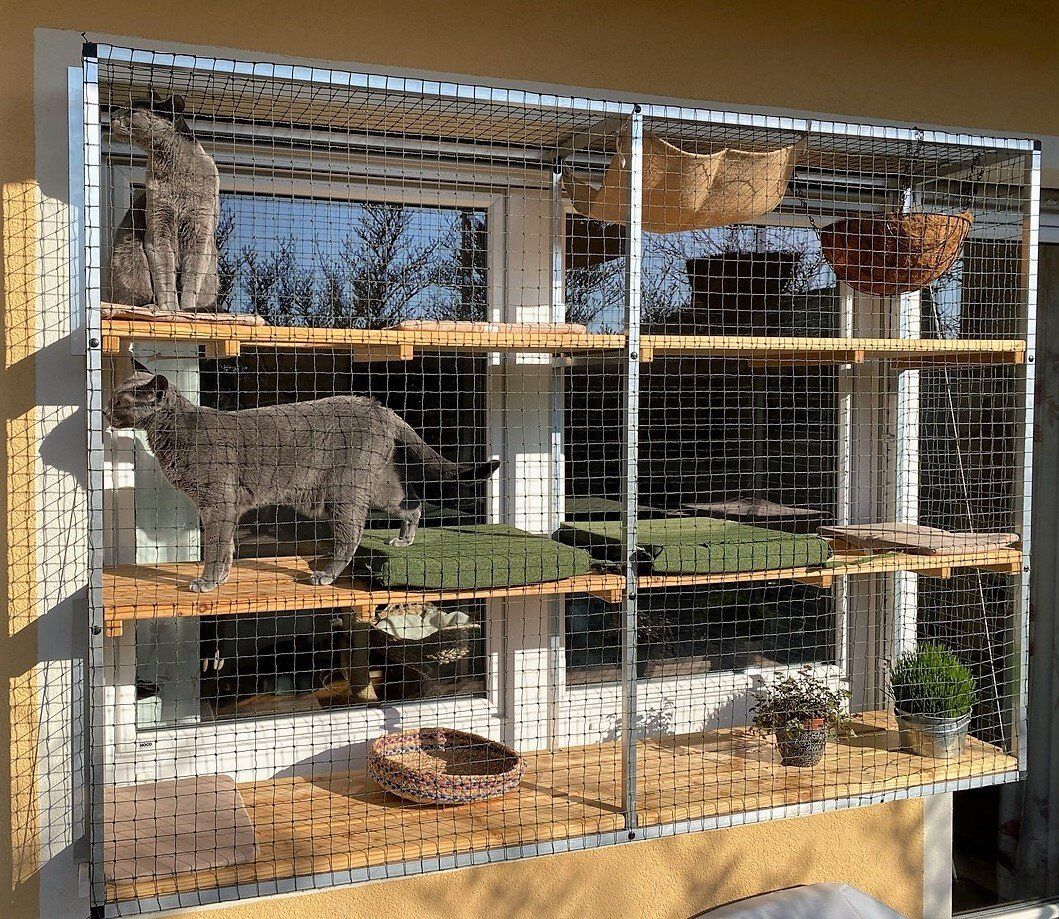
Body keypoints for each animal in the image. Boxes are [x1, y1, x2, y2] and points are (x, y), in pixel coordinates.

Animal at [105, 366, 499, 592]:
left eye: (121, 400)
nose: (106, 410)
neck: (173, 431)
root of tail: (380, 406)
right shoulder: (222, 508)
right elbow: (227, 546)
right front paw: (223, 577)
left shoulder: (218, 502)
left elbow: (216, 546)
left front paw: (207, 581)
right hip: (374, 485)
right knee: (410, 502)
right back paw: (403, 540)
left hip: (343, 490)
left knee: (352, 535)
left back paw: (326, 576)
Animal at [108, 92, 220, 312]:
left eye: (132, 111)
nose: (112, 116)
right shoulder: (158, 229)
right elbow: (165, 277)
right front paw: (170, 311)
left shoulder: (200, 232)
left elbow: (191, 279)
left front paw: (186, 310)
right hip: (130, 250)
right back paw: (150, 305)